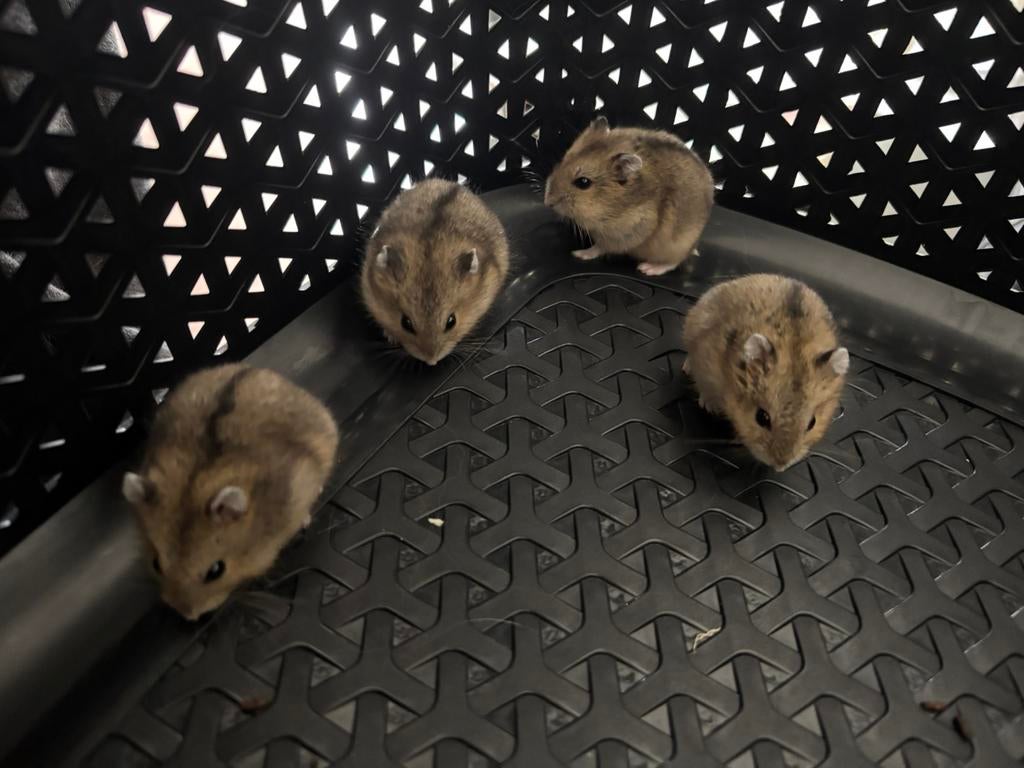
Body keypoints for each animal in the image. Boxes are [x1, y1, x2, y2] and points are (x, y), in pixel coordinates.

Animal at [544, 116, 714, 276]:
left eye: (583, 182)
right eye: (564, 159)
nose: (547, 202)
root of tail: (695, 244)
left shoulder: (623, 234)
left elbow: (599, 247)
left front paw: (578, 254)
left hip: (677, 246)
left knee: (673, 262)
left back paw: (647, 268)